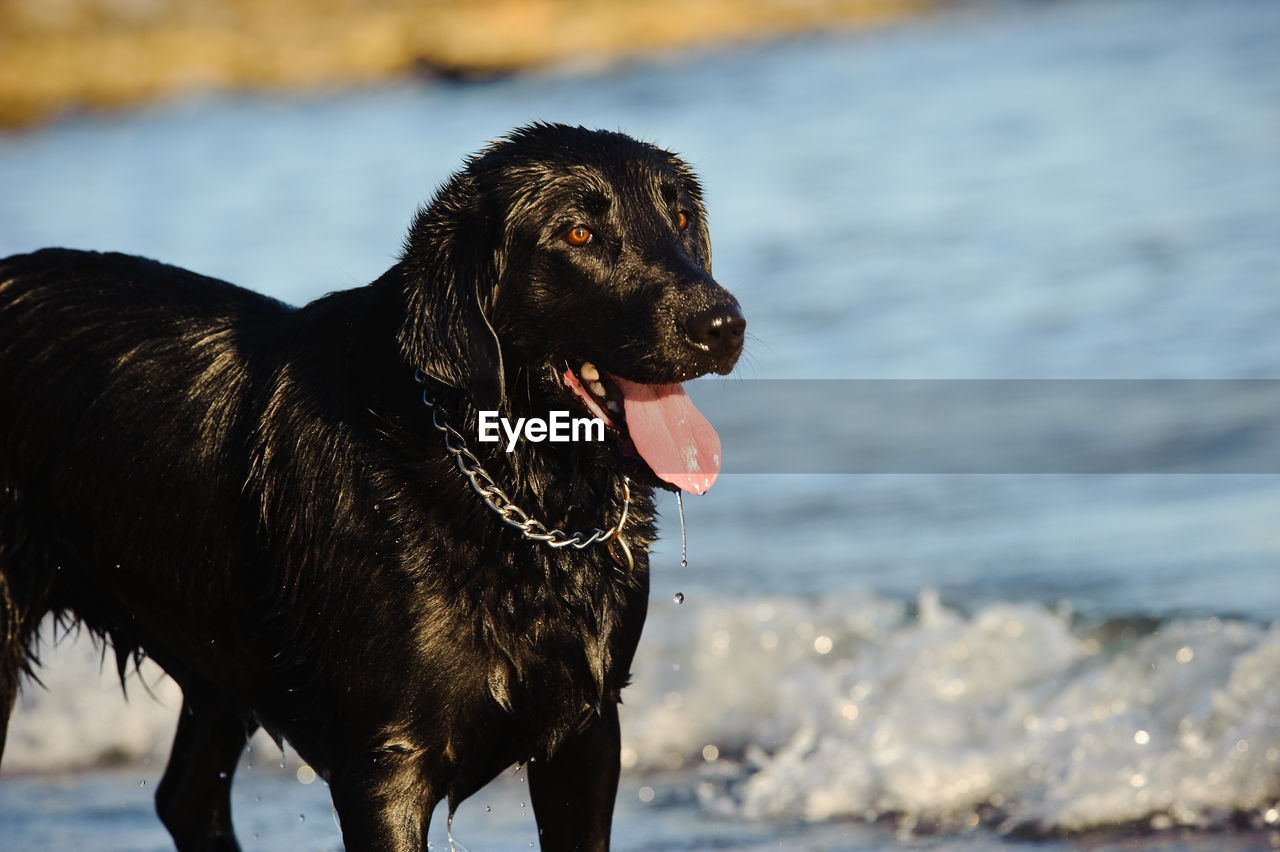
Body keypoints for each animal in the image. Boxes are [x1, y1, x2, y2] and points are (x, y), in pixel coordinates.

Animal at [0, 122, 747, 844]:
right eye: (579, 234)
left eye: (680, 217)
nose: (724, 324)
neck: (512, 492)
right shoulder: (385, 771)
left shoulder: (586, 734)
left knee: (186, 799)